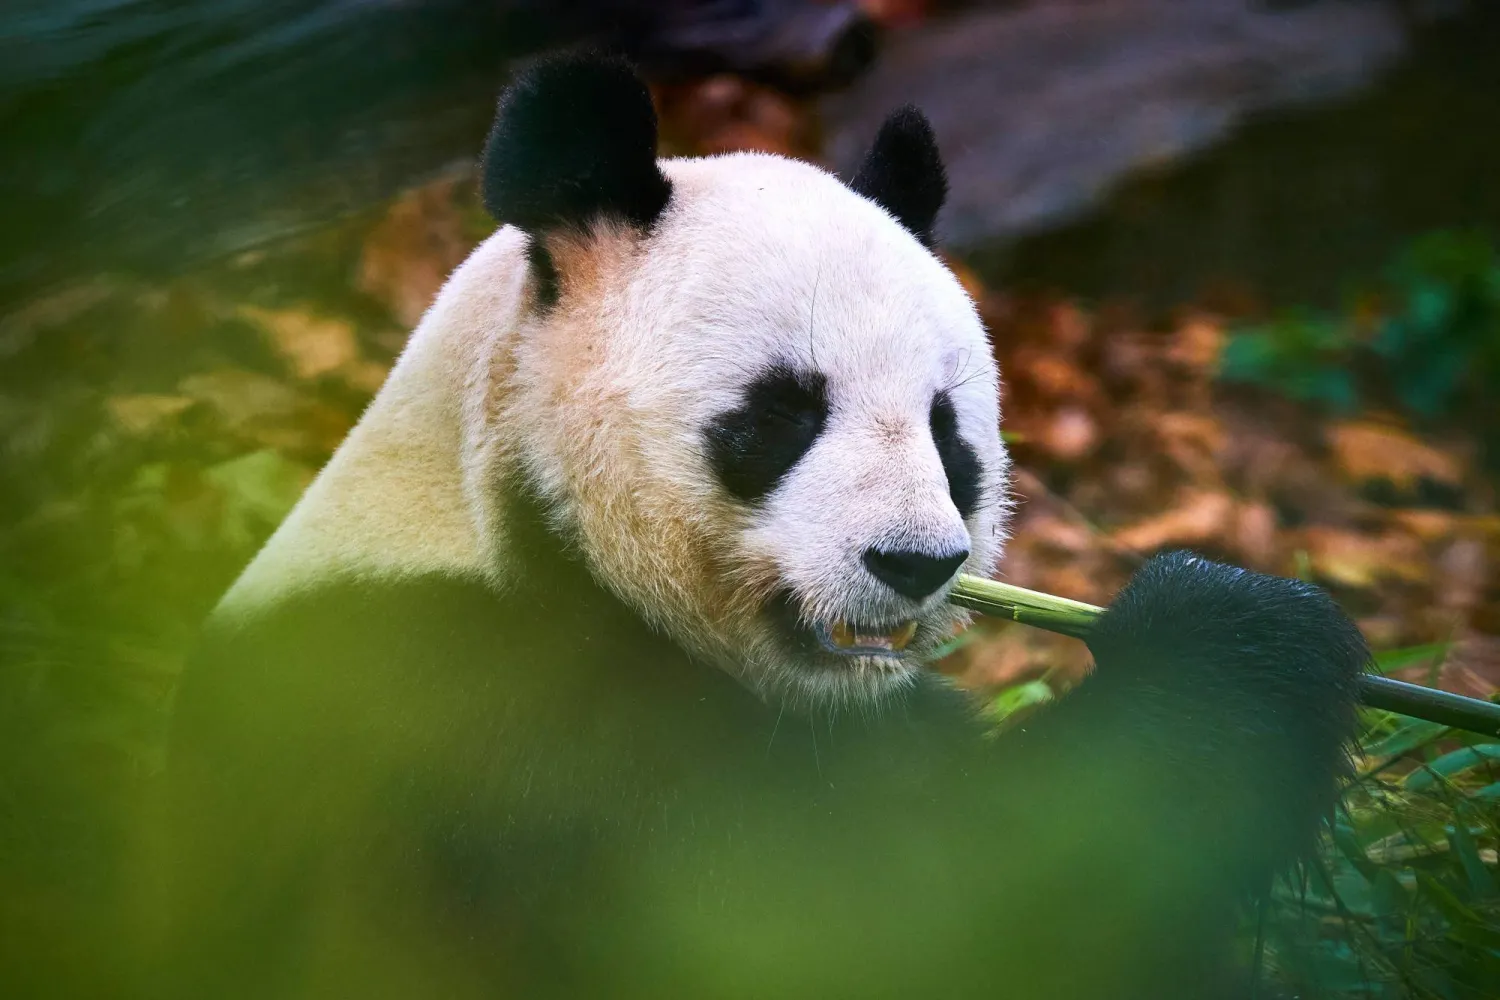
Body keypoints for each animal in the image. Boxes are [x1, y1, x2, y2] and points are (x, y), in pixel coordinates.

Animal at [159, 53, 1368, 1000]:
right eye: (783, 414)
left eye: (949, 432)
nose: (915, 564)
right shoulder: (475, 713)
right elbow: (899, 915)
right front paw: (1233, 639)